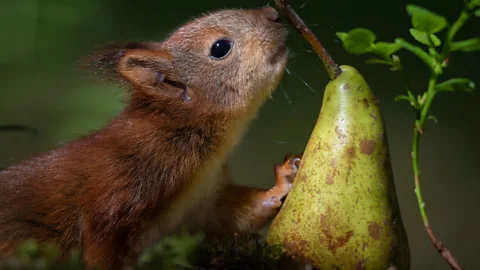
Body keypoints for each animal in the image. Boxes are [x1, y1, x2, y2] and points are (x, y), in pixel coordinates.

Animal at [0, 6, 300, 270]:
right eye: (219, 48)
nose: (273, 14)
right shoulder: (123, 184)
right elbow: (101, 244)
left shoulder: (204, 201)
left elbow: (232, 216)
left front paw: (283, 180)